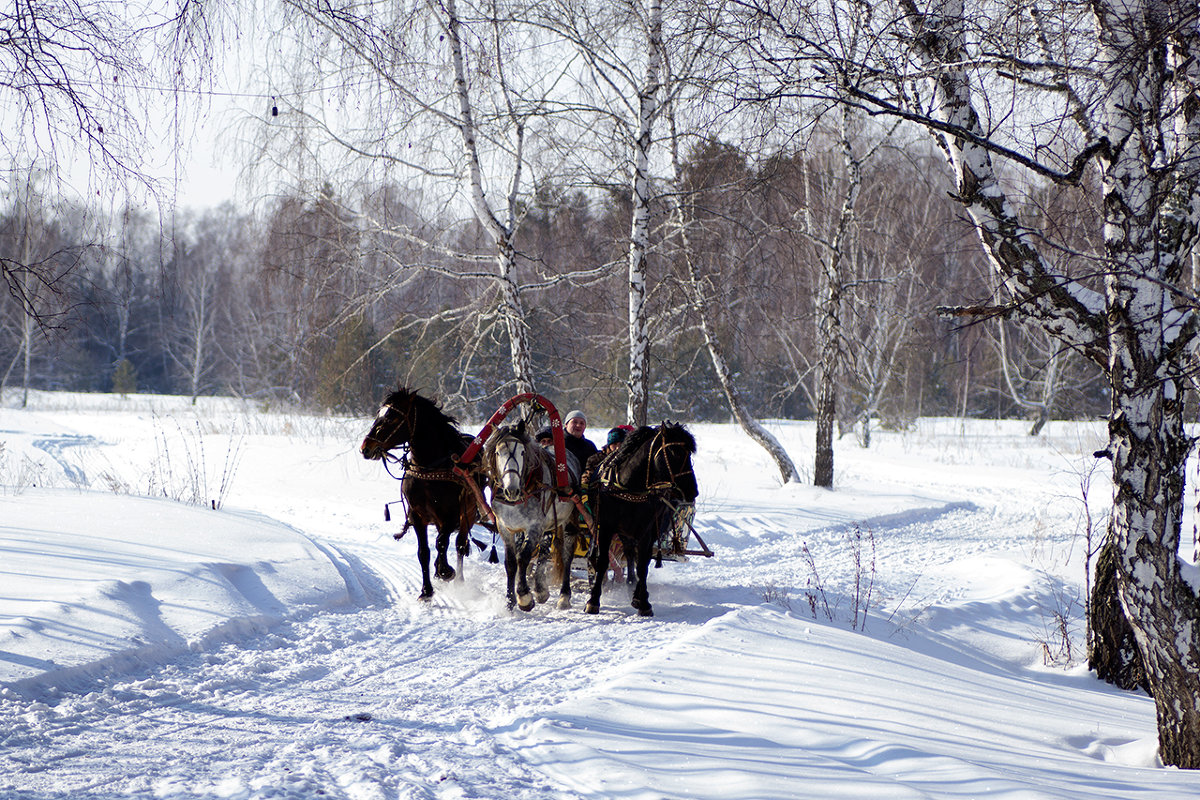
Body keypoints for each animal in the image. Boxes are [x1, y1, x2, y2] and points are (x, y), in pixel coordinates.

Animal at [360, 388, 482, 599]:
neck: (430, 469)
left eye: (391, 417)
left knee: (459, 544)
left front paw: (445, 571)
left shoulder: (451, 516)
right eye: (378, 414)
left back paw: (457, 578)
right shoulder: (417, 516)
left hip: (468, 513)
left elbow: (441, 543)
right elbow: (423, 552)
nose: (366, 448)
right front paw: (426, 590)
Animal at [585, 424, 700, 618]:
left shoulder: (647, 530)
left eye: (689, 454)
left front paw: (643, 601)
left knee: (636, 557)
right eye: (674, 452)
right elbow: (602, 561)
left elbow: (643, 565)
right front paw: (593, 600)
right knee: (629, 552)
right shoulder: (605, 526)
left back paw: (635, 589)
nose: (692, 490)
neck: (630, 488)